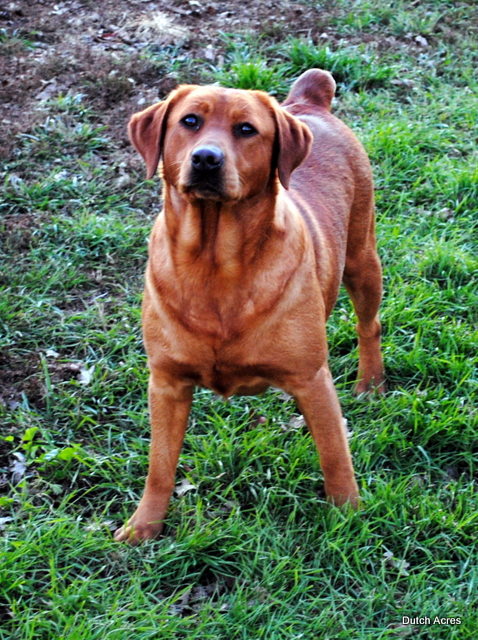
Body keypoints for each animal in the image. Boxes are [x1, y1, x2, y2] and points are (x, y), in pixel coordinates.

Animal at [115, 67, 384, 544]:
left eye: (246, 130)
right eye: (189, 121)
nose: (206, 159)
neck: (214, 265)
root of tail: (307, 102)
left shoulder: (312, 379)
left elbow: (335, 456)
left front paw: (348, 518)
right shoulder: (166, 383)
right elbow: (159, 466)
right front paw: (143, 527)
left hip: (362, 257)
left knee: (368, 324)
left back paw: (371, 384)